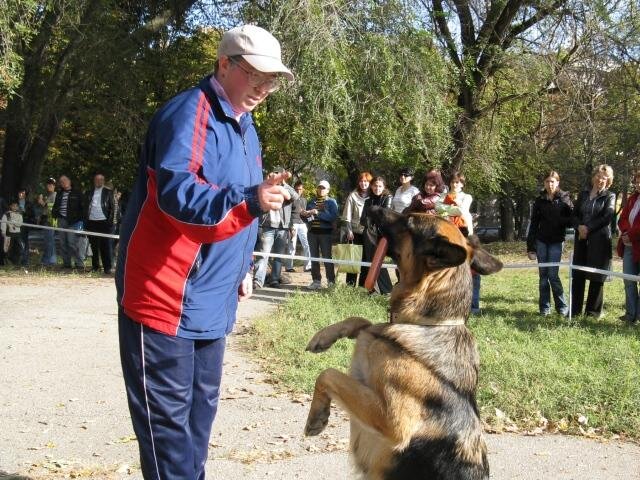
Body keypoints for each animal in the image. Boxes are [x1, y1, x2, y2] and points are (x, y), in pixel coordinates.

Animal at [302, 208, 502, 478]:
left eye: (409, 221)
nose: (372, 207)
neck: (425, 323)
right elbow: (363, 322)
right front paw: (323, 336)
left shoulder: (391, 420)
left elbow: (328, 373)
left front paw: (316, 416)